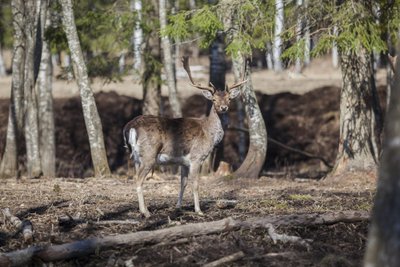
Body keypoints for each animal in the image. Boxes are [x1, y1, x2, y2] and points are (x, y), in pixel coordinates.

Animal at [122, 56, 247, 218]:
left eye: (229, 99)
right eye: (213, 99)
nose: (223, 108)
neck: (209, 134)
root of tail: (130, 126)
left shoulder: (183, 162)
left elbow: (183, 183)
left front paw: (178, 207)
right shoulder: (196, 157)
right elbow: (195, 184)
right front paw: (199, 210)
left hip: (137, 156)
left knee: (137, 177)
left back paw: (142, 211)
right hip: (149, 154)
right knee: (138, 180)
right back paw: (146, 212)